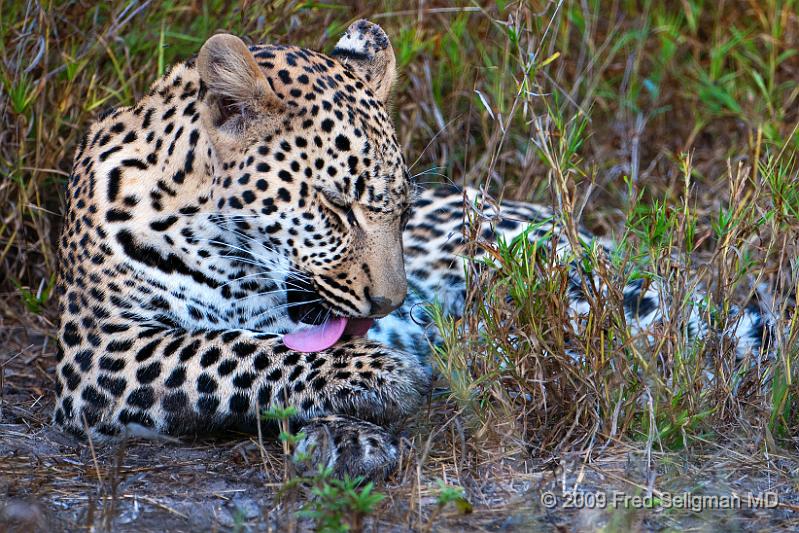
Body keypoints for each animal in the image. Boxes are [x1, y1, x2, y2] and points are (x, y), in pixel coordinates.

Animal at [53, 19, 772, 478]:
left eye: (399, 206)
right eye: (335, 206)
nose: (391, 303)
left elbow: (262, 352)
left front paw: (358, 408)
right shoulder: (97, 352)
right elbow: (230, 352)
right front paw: (371, 393)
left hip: (563, 282)